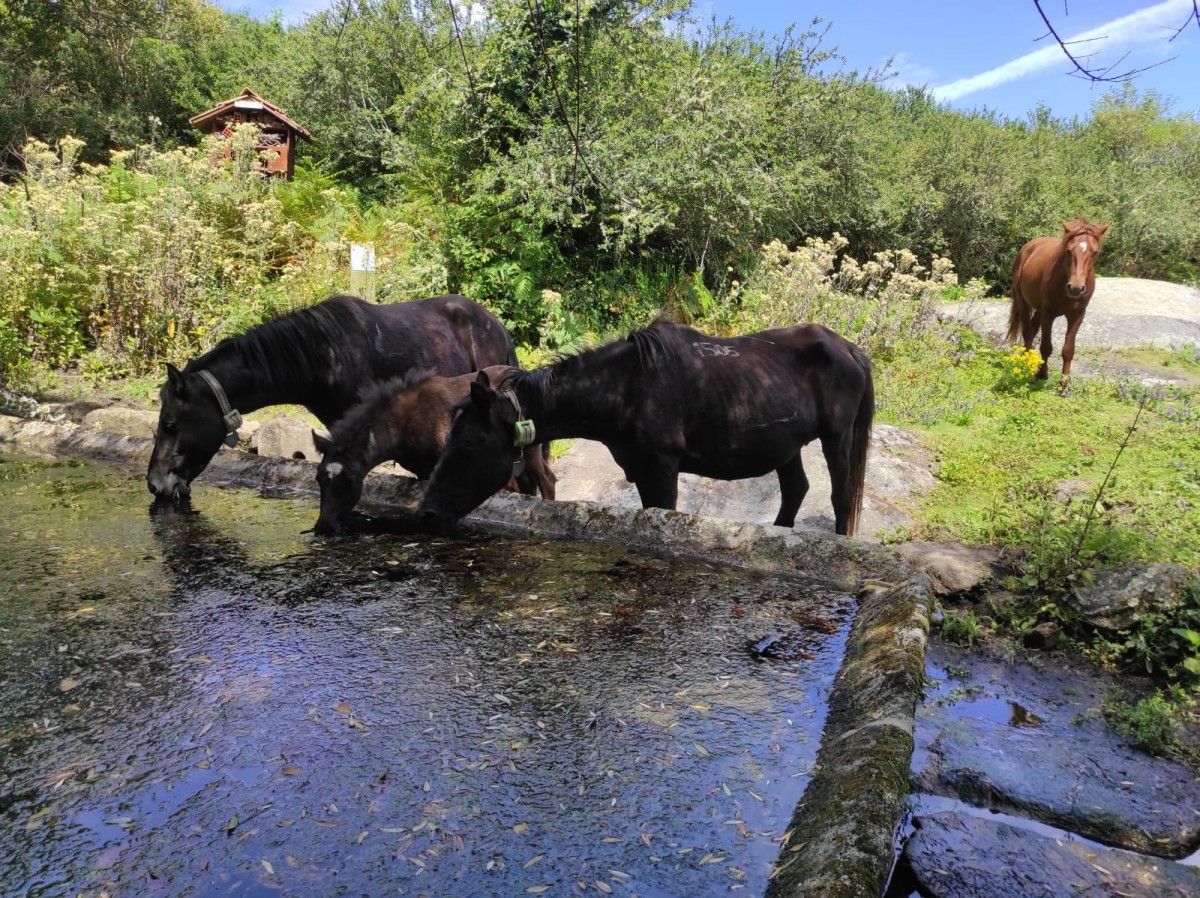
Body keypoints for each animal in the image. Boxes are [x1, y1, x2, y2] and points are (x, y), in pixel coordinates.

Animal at [309, 362, 552, 533]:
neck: (405, 424)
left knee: (546, 481)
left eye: (348, 481)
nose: (324, 527)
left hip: (530, 448)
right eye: (318, 479)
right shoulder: (422, 472)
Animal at [420, 321, 873, 537]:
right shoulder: (640, 470)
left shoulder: (662, 469)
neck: (627, 386)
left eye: (467, 447)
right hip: (787, 446)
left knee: (841, 498)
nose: (426, 513)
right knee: (796, 490)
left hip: (837, 438)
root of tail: (849, 348)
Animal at [1003, 219, 1104, 388]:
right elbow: (1046, 346)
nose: (1076, 288)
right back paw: (1027, 361)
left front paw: (1064, 381)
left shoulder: (1077, 315)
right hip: (1024, 303)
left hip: (1039, 309)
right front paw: (1042, 374)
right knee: (1027, 332)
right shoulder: (1048, 314)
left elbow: (1069, 349)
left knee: (1032, 329)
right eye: (1069, 251)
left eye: (1095, 252)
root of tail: (1028, 246)